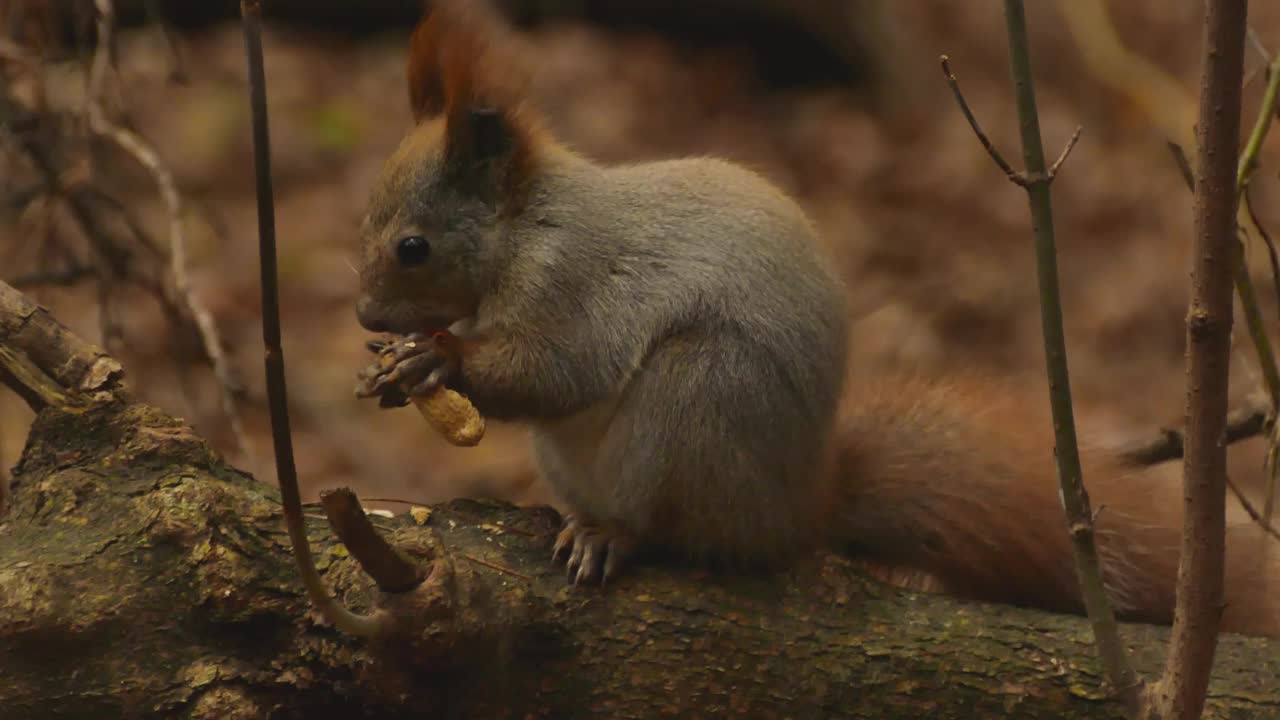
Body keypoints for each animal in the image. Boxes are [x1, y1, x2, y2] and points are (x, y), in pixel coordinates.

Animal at [353, 2, 1280, 635]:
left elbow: (558, 367)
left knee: (677, 527)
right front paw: (390, 368)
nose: (364, 314)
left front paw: (438, 361)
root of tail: (798, 509)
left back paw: (615, 534)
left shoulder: (574, 282)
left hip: (700, 397)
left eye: (413, 246)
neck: (523, 227)